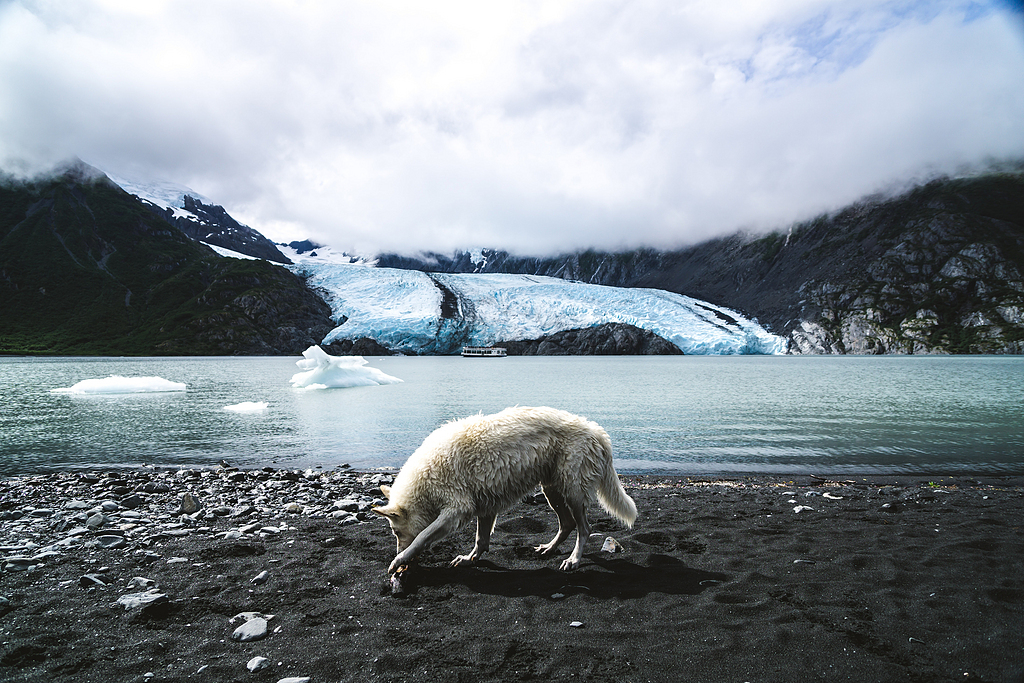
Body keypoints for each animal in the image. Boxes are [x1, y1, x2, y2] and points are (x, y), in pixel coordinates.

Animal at [372, 409, 634, 573]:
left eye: (395, 532)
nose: (398, 550)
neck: (427, 477)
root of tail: (596, 431)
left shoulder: (457, 510)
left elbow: (423, 537)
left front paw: (399, 559)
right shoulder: (484, 505)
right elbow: (481, 539)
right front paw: (469, 559)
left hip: (573, 490)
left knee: (584, 528)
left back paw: (574, 559)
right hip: (552, 489)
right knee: (567, 523)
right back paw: (550, 548)